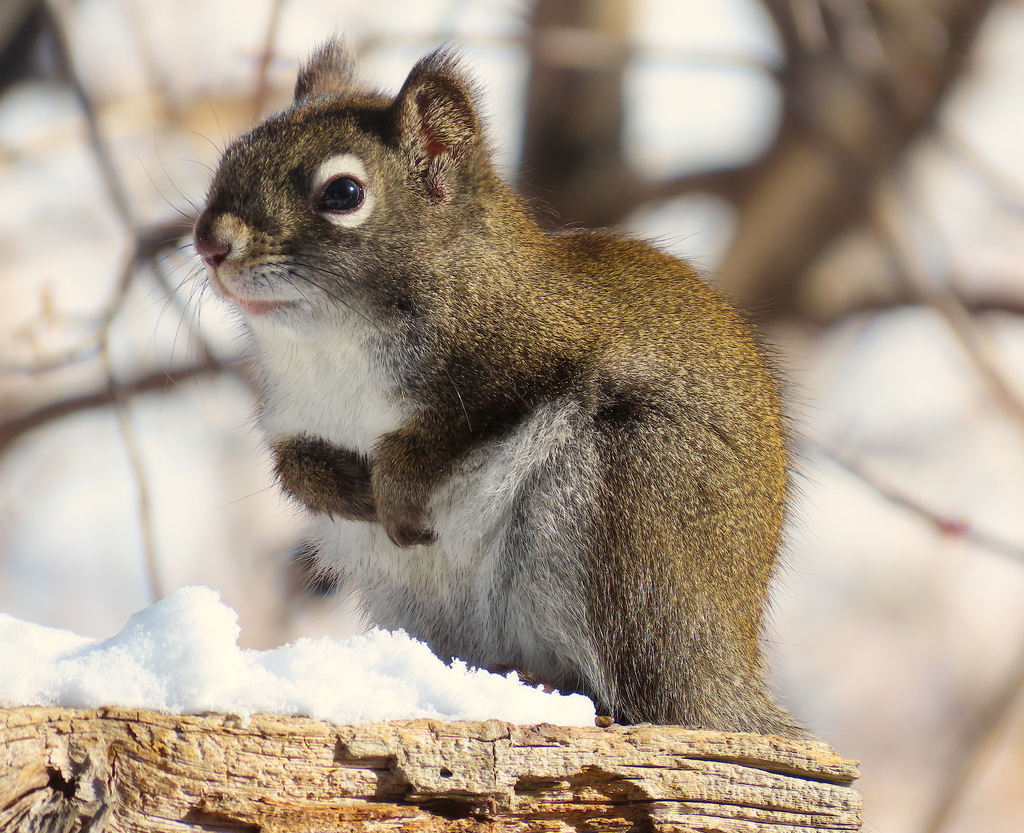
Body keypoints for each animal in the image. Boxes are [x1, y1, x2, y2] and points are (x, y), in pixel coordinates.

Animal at [192, 42, 798, 737]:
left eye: (343, 193)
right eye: (233, 154)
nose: (209, 241)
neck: (332, 344)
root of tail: (723, 664)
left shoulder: (533, 352)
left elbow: (444, 436)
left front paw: (391, 490)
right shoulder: (295, 417)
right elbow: (294, 467)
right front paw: (342, 490)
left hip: (632, 513)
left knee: (639, 688)